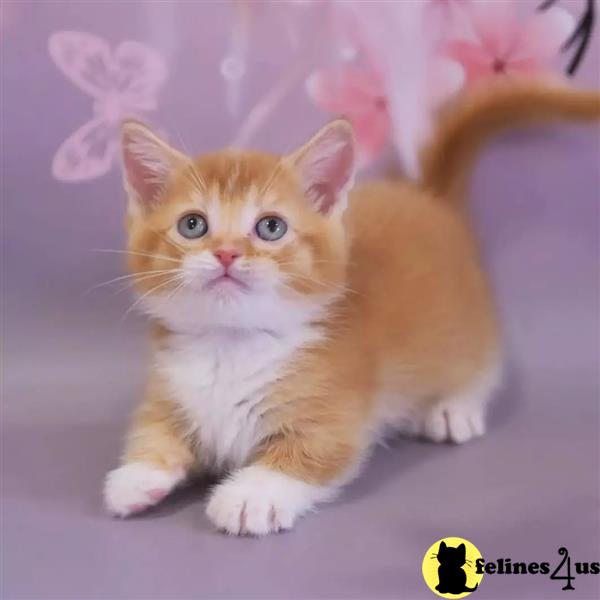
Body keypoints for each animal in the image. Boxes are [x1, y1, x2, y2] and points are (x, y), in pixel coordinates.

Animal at [104, 81, 600, 536]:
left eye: (270, 227)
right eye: (193, 225)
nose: (227, 253)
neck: (231, 343)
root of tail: (429, 199)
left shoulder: (333, 413)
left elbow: (309, 455)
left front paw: (250, 495)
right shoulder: (168, 387)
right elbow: (152, 427)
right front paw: (137, 475)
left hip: (468, 324)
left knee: (482, 364)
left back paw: (453, 408)